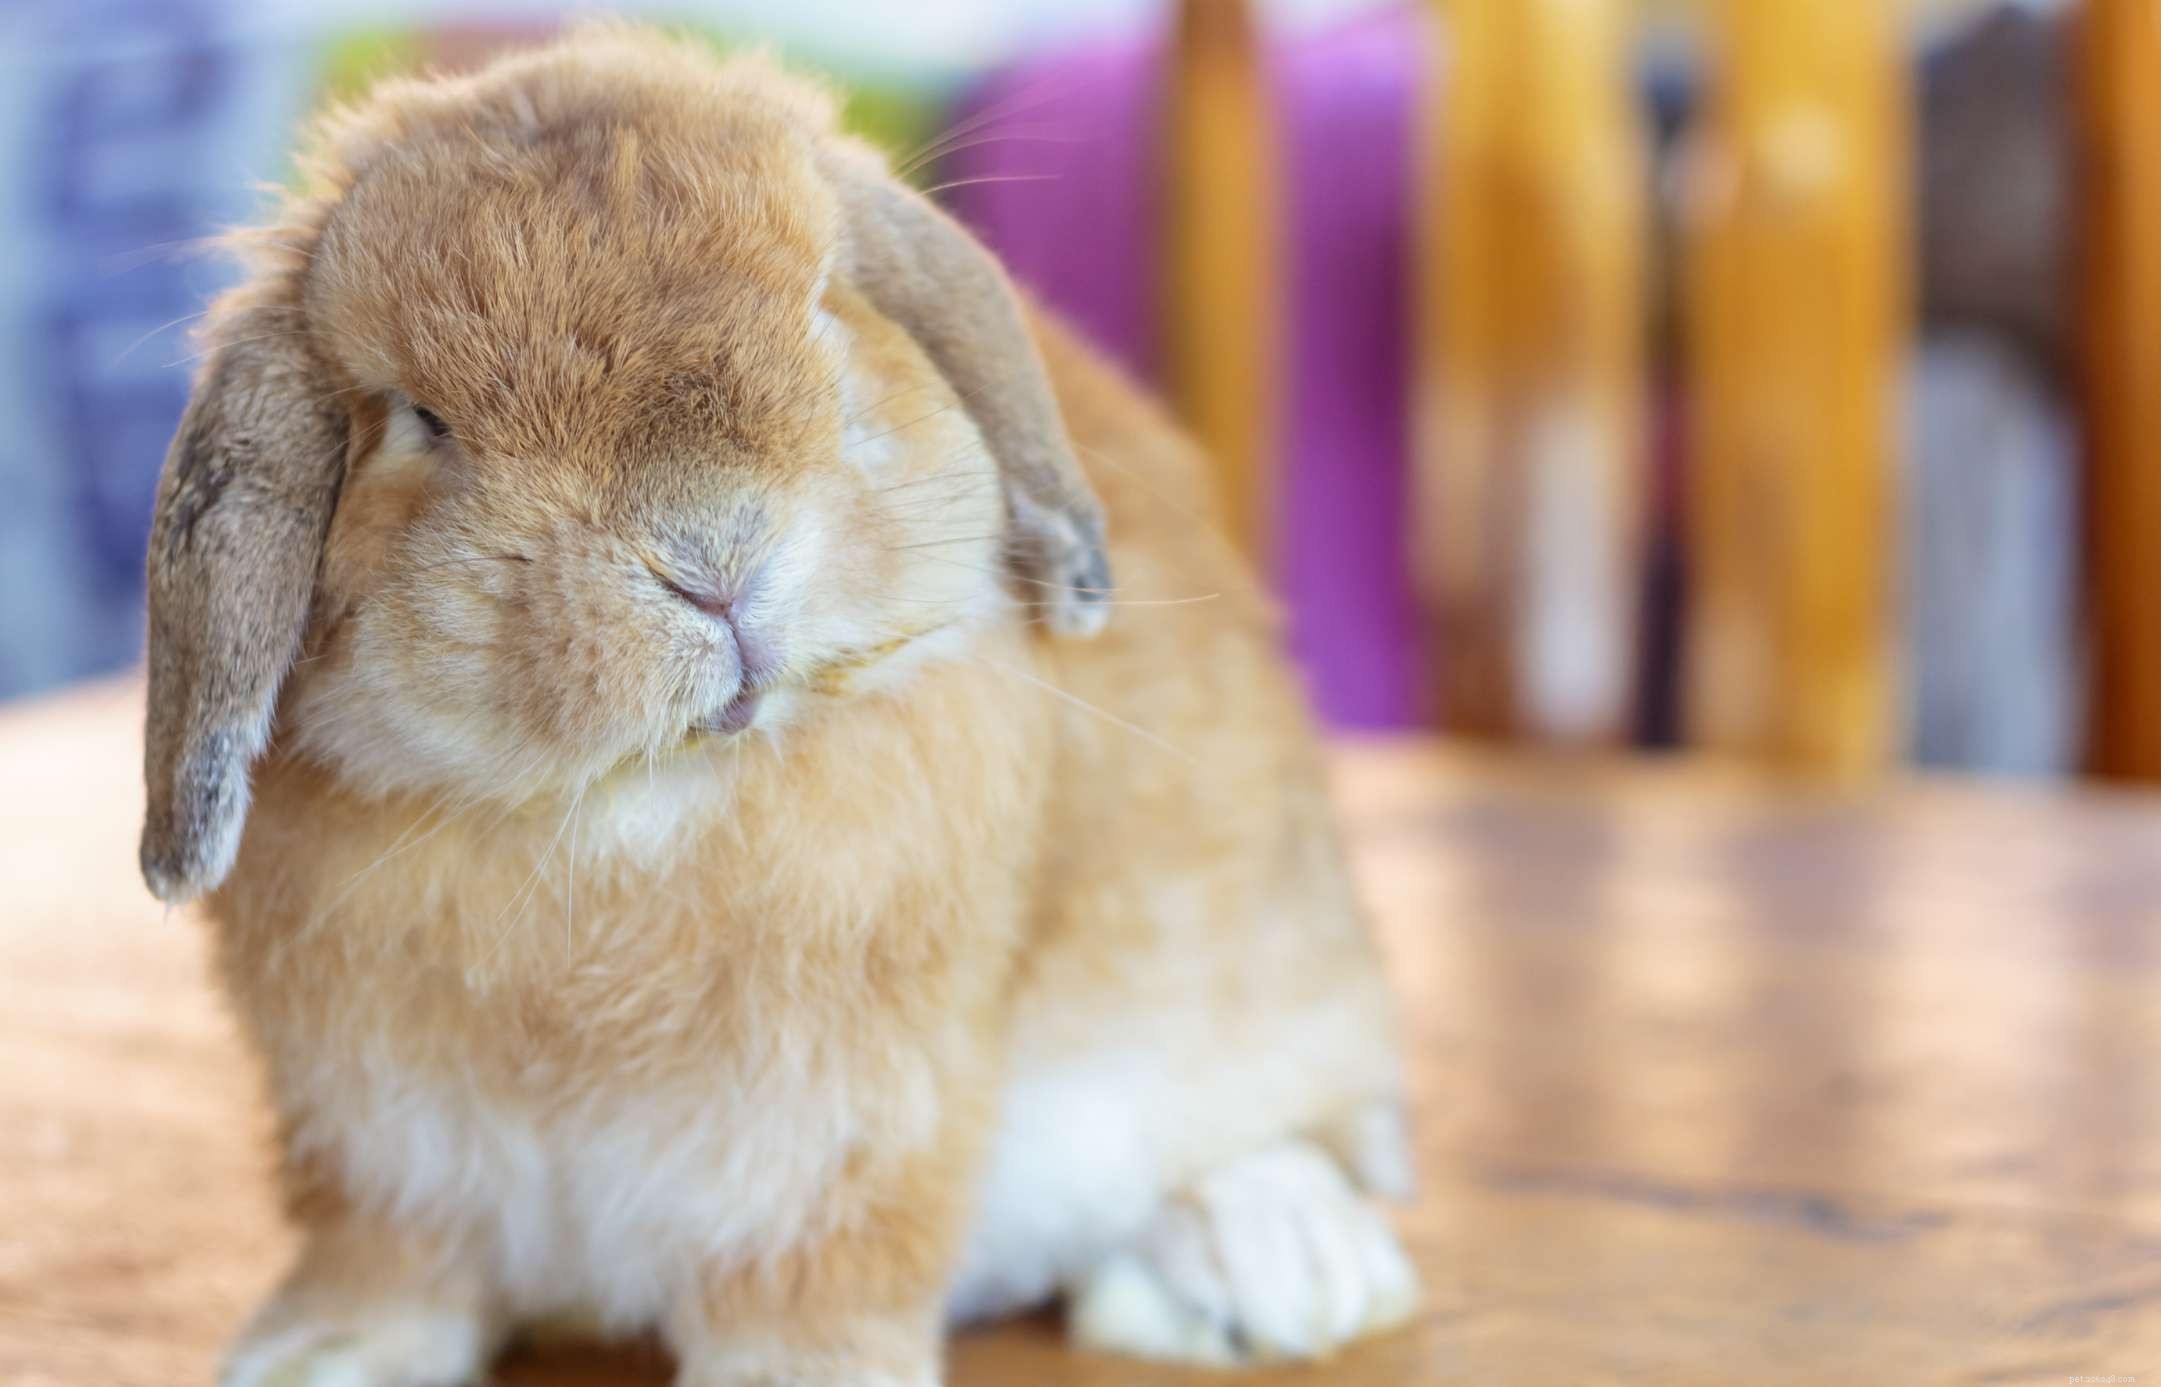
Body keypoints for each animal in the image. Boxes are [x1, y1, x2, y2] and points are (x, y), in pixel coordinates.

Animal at [140, 23, 1415, 1387]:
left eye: (821, 308)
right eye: (421, 419)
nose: (713, 555)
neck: (625, 800)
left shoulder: (844, 1135)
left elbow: (814, 1276)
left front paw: (800, 1375)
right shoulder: (377, 1140)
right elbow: (385, 1259)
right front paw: (317, 1354)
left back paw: (1271, 1268)